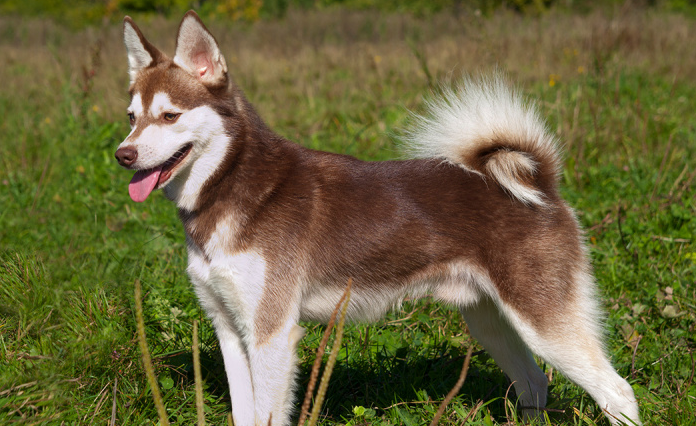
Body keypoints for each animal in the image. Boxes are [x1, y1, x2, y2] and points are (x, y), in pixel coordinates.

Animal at [114, 10, 640, 426]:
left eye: (170, 116)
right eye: (131, 117)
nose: (123, 154)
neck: (233, 188)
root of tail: (541, 184)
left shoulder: (271, 335)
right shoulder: (229, 330)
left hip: (545, 326)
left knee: (618, 392)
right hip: (492, 324)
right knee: (534, 385)